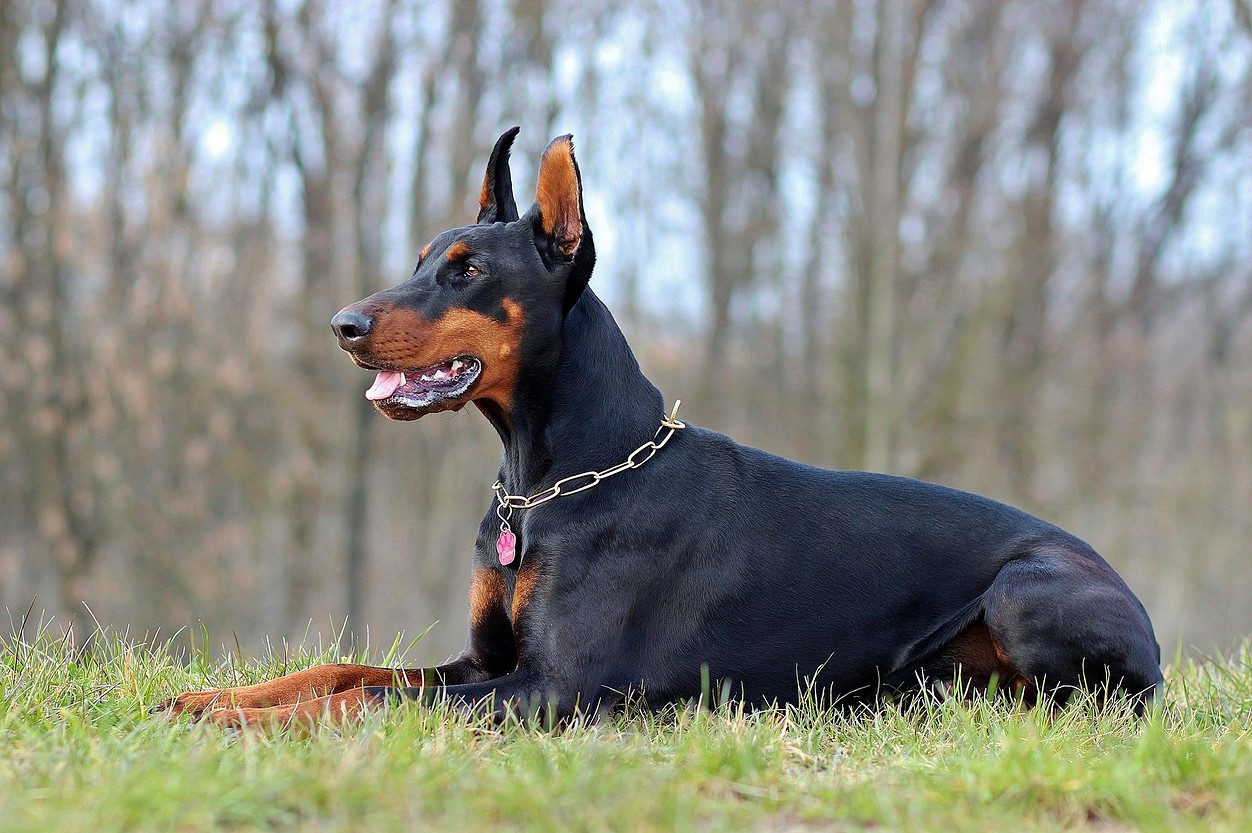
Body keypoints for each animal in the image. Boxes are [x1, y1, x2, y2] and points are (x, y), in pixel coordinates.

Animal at [156, 128, 1161, 726]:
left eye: (467, 270)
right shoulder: (481, 660)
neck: (550, 480)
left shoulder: (550, 687)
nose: (343, 324)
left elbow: (367, 702)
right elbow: (340, 673)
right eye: (419, 260)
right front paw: (208, 697)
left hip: (1028, 587)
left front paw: (242, 723)